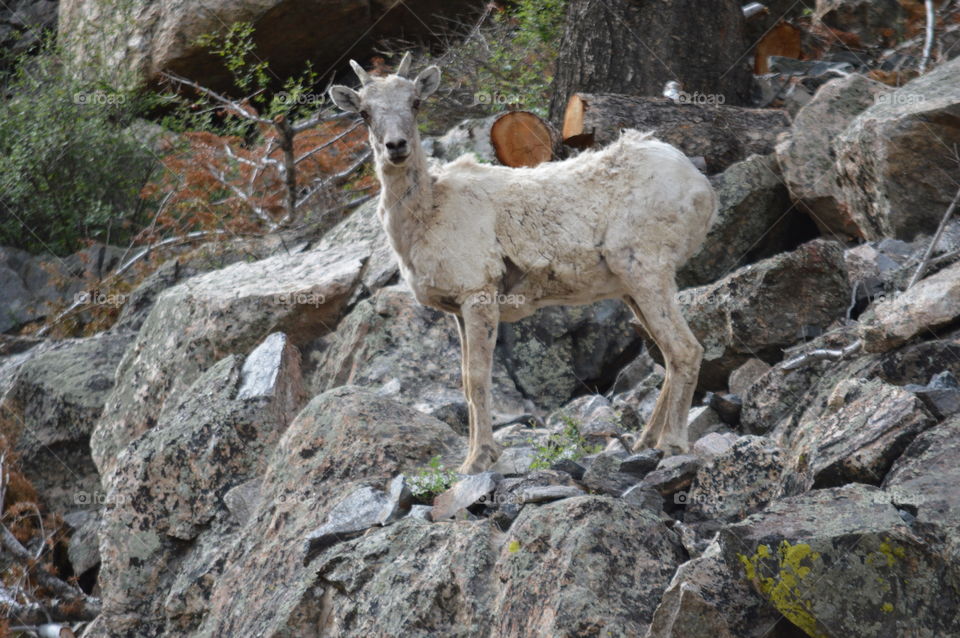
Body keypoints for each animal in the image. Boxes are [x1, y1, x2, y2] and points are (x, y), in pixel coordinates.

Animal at [330, 53, 716, 474]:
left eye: (415, 102)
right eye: (364, 113)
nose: (395, 146)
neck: (428, 214)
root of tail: (701, 186)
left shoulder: (478, 293)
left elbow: (478, 377)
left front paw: (478, 461)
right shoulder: (457, 309)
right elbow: (464, 381)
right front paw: (474, 457)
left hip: (647, 269)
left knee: (685, 350)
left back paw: (672, 445)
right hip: (631, 288)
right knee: (667, 354)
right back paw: (644, 442)